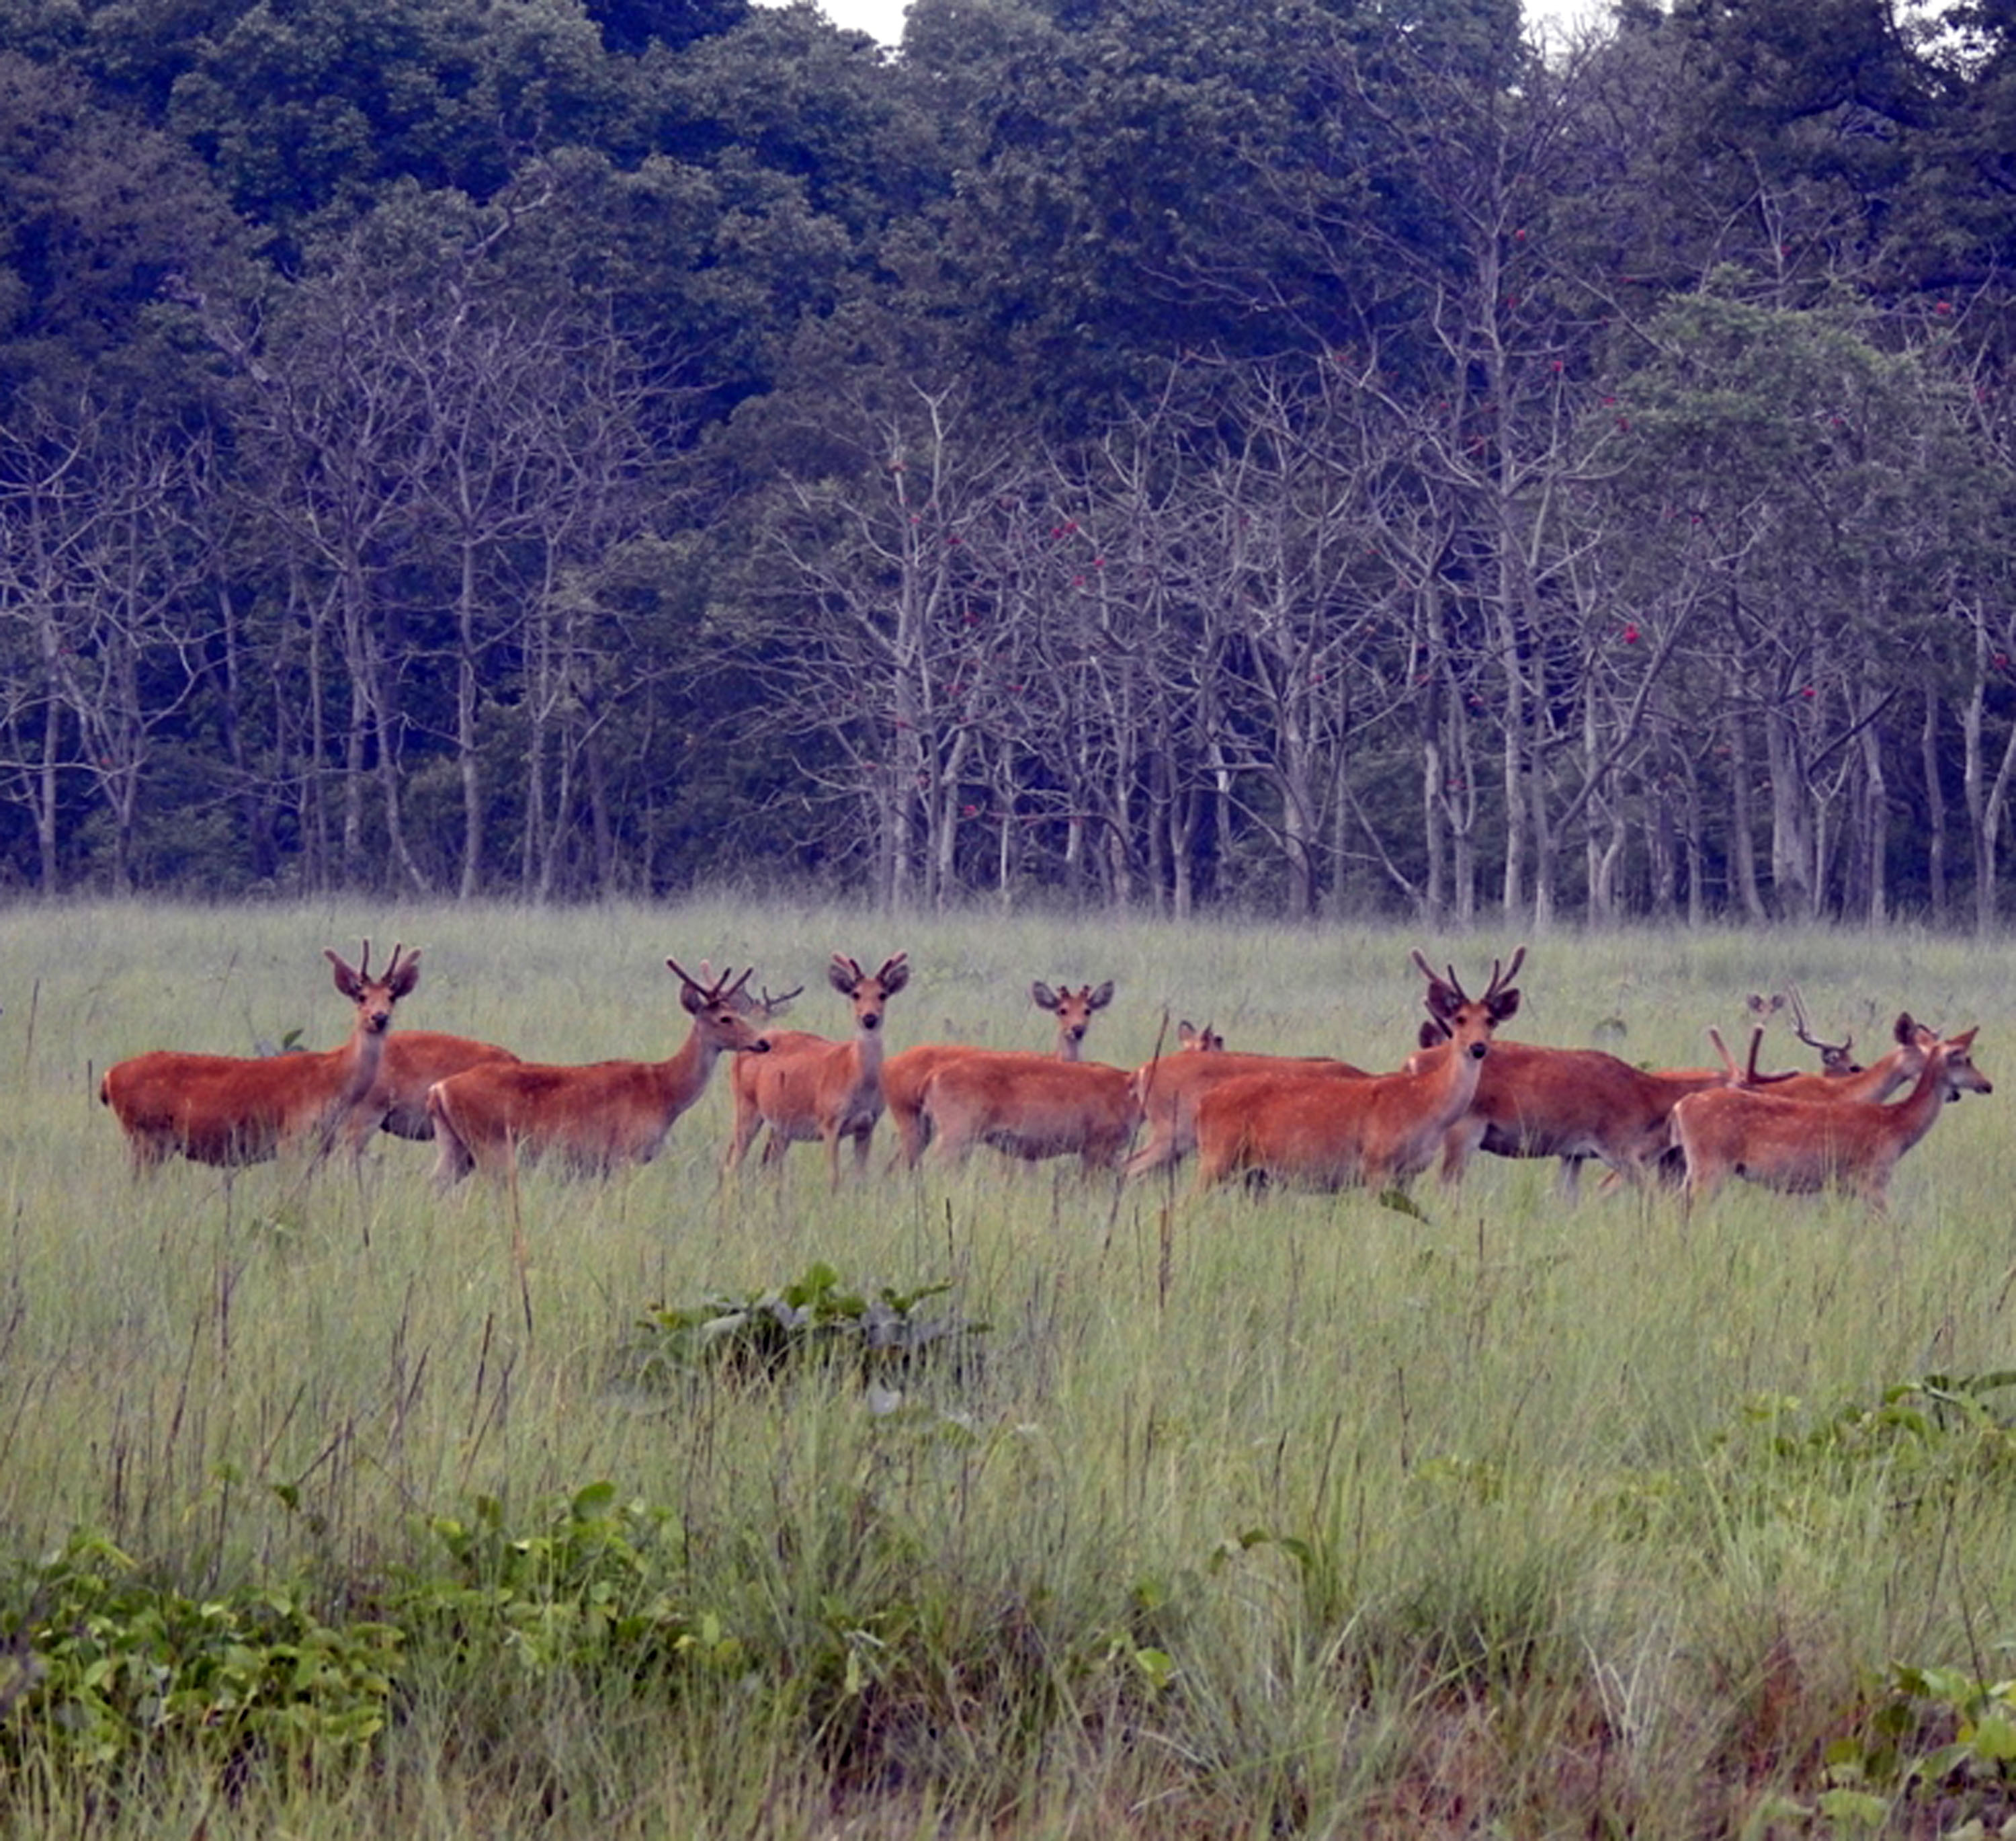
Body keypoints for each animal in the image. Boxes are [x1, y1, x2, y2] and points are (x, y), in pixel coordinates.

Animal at [101, 940, 421, 1170]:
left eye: (392, 997)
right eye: (361, 996)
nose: (379, 1017)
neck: (333, 1082)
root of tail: (108, 1076)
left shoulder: (321, 1147)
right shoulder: (292, 1138)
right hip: (146, 1137)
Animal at [425, 956, 770, 1186]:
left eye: (737, 1011)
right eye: (725, 1018)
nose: (763, 1042)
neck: (664, 1091)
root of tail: (440, 1089)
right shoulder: (623, 1154)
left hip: (453, 1145)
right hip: (491, 1145)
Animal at [726, 956, 915, 1186]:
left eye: (883, 994)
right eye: (856, 994)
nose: (869, 1018)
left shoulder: (867, 1125)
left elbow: (861, 1177)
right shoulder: (830, 1122)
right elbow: (833, 1177)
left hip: (781, 1125)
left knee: (768, 1162)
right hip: (746, 1104)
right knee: (734, 1159)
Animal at [1185, 948, 1516, 1194]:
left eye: (1490, 1020)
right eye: (1459, 1019)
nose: (1478, 1047)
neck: (1426, 1107)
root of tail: (1204, 1103)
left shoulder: (1409, 1172)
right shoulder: (1377, 1162)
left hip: (1249, 1171)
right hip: (1216, 1157)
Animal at [1669, 1020, 1984, 1210]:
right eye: (1964, 1058)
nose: (1986, 1084)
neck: (1896, 1124)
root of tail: (1682, 1106)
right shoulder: (1871, 1178)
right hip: (1711, 1165)